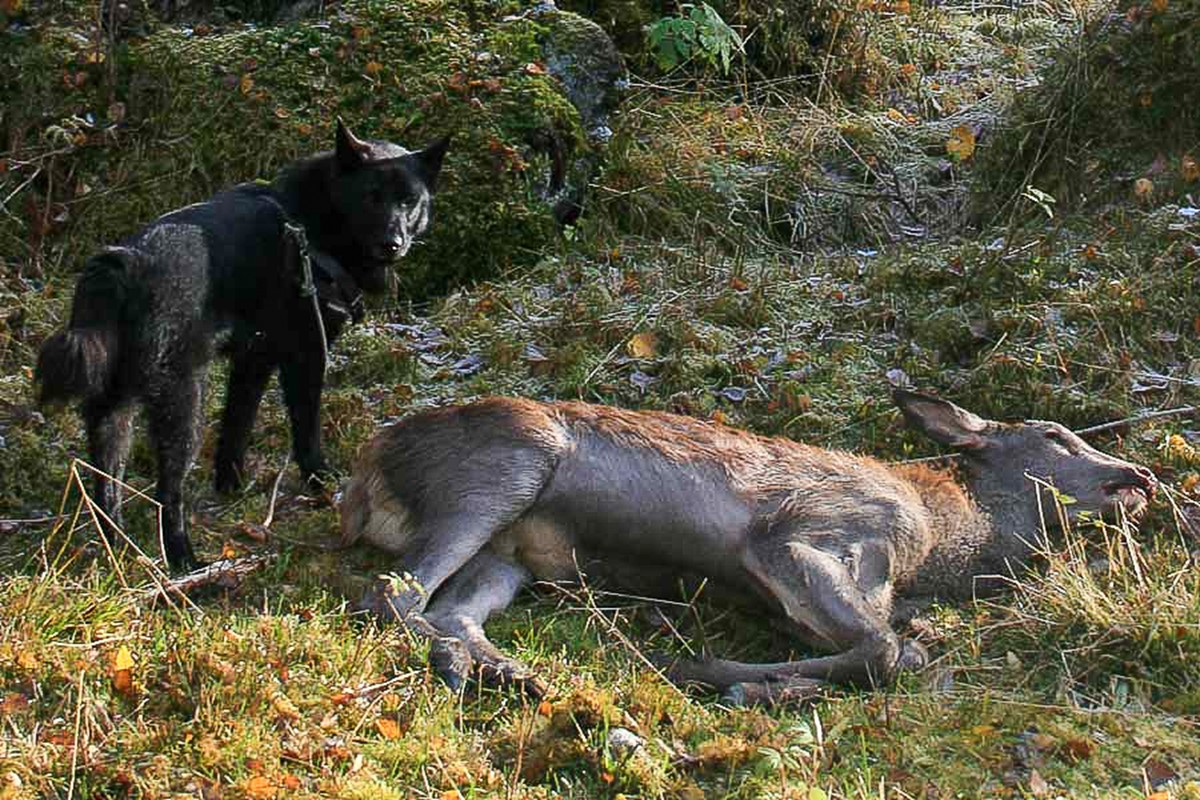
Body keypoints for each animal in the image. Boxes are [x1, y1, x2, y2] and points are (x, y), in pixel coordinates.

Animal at [38, 120, 451, 568]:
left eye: (409, 201)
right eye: (371, 196)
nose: (392, 243)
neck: (312, 224)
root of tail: (124, 263)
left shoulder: (254, 360)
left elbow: (236, 425)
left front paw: (231, 486)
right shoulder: (306, 354)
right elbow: (305, 427)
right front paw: (320, 481)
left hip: (114, 410)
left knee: (107, 483)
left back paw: (117, 547)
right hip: (183, 401)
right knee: (169, 491)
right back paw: (185, 559)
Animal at [338, 391, 1152, 705]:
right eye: (1056, 435)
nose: (1140, 475)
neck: (938, 546)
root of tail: (363, 476)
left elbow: (896, 645)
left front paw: (762, 681)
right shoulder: (795, 536)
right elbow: (889, 651)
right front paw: (709, 671)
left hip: (515, 553)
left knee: (449, 608)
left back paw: (508, 670)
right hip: (501, 472)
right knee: (391, 593)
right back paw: (463, 666)